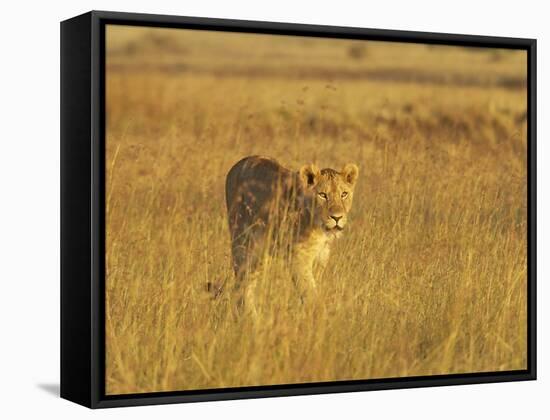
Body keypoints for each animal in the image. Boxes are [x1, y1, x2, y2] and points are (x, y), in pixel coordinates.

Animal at [225, 154, 360, 296]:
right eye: (323, 195)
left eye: (344, 194)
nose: (337, 217)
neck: (320, 229)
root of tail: (241, 162)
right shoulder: (298, 257)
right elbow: (309, 292)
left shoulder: (322, 256)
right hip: (242, 241)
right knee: (244, 280)